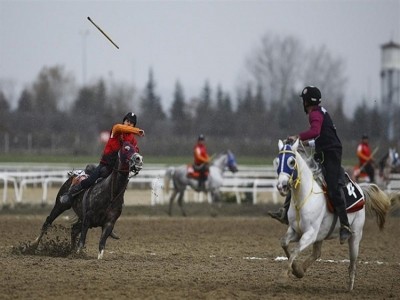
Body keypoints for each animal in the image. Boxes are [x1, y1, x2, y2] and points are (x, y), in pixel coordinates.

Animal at [276, 139, 390, 292]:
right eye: (277, 161)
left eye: (291, 162)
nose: (281, 186)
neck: (304, 197)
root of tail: (360, 188)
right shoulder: (296, 231)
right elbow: (284, 243)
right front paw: (296, 270)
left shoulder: (310, 234)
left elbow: (294, 250)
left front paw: (284, 276)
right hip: (322, 235)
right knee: (317, 253)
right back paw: (302, 270)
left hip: (355, 236)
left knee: (353, 262)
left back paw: (350, 287)